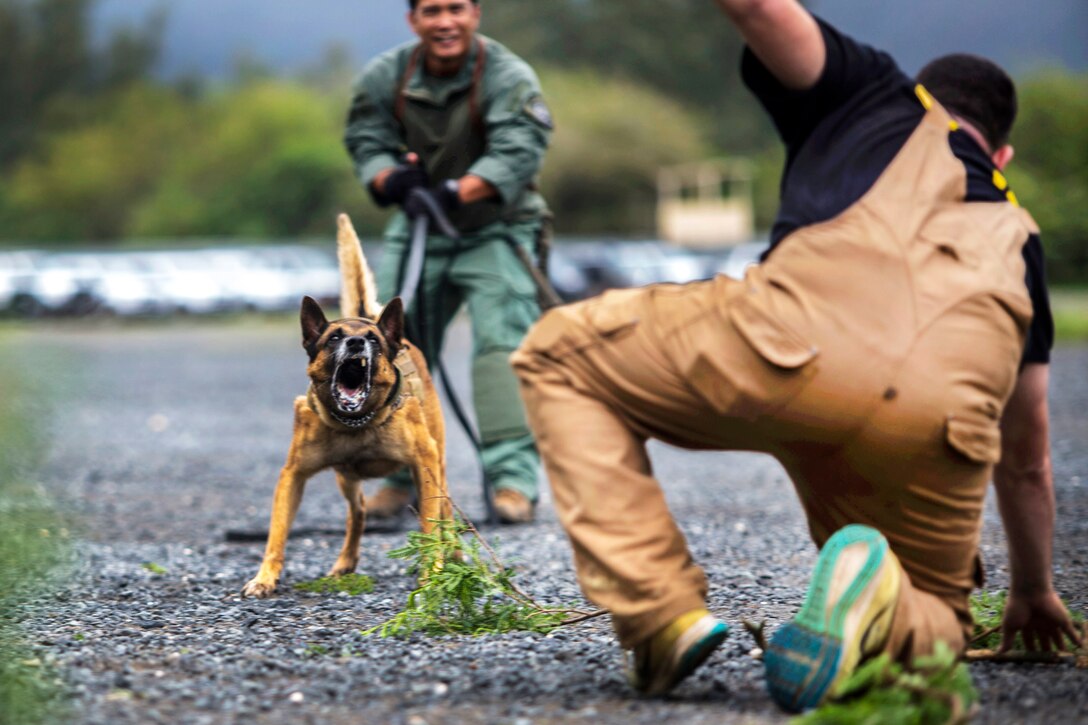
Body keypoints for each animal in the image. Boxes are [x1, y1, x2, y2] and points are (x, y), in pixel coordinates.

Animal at [242, 212, 450, 596]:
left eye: (373, 341)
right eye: (334, 337)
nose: (355, 343)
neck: (358, 423)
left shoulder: (425, 462)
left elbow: (431, 526)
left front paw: (434, 573)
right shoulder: (292, 476)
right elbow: (276, 533)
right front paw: (264, 578)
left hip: (437, 465)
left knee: (447, 518)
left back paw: (454, 555)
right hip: (346, 479)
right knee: (359, 511)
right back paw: (345, 562)